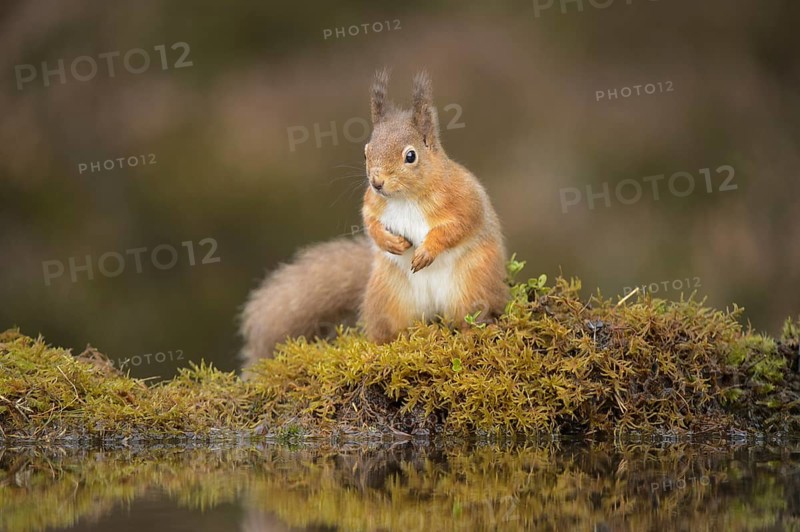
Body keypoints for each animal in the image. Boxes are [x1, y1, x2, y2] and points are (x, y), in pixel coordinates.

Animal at [240, 70, 509, 366]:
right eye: (366, 152)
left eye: (411, 156)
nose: (376, 182)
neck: (407, 197)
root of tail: (434, 309)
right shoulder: (372, 205)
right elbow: (371, 224)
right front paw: (390, 243)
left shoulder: (464, 200)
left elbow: (457, 227)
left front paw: (427, 251)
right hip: (387, 297)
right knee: (390, 330)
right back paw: (387, 345)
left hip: (474, 284)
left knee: (471, 317)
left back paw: (476, 331)